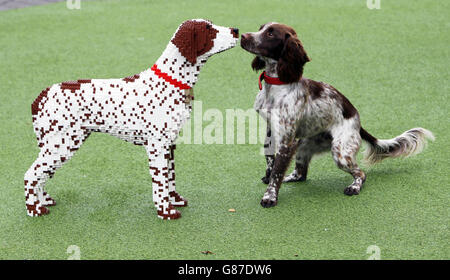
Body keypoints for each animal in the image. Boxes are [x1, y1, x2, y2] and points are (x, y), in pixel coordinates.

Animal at [25, 20, 239, 221]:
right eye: (208, 28)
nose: (236, 30)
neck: (170, 81)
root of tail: (42, 95)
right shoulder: (157, 146)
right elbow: (161, 184)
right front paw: (166, 211)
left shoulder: (170, 145)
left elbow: (170, 179)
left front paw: (174, 200)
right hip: (62, 145)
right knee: (31, 175)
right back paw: (34, 209)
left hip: (57, 145)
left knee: (40, 176)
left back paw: (44, 201)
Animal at [241, 22, 434, 208]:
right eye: (260, 28)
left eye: (270, 34)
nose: (242, 35)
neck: (276, 85)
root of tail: (358, 123)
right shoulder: (272, 131)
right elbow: (271, 162)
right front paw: (268, 179)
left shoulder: (286, 141)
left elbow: (277, 172)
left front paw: (270, 197)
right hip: (304, 145)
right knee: (301, 174)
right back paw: (290, 177)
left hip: (340, 152)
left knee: (361, 174)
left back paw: (354, 187)